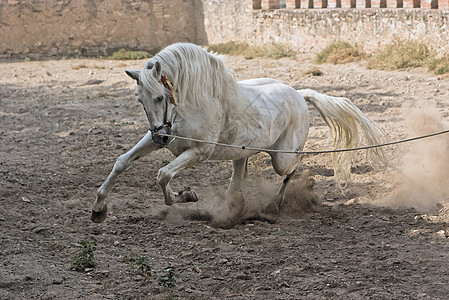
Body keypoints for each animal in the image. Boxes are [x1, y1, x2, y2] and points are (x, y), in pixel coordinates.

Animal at [91, 41, 384, 225]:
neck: (195, 102)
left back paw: (275, 205)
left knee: (292, 170)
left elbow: (163, 175)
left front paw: (185, 195)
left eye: (160, 97)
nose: (160, 137)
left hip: (282, 158)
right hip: (239, 154)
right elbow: (122, 162)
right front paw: (98, 209)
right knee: (239, 180)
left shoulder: (198, 151)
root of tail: (300, 95)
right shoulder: (162, 141)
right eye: (139, 100)